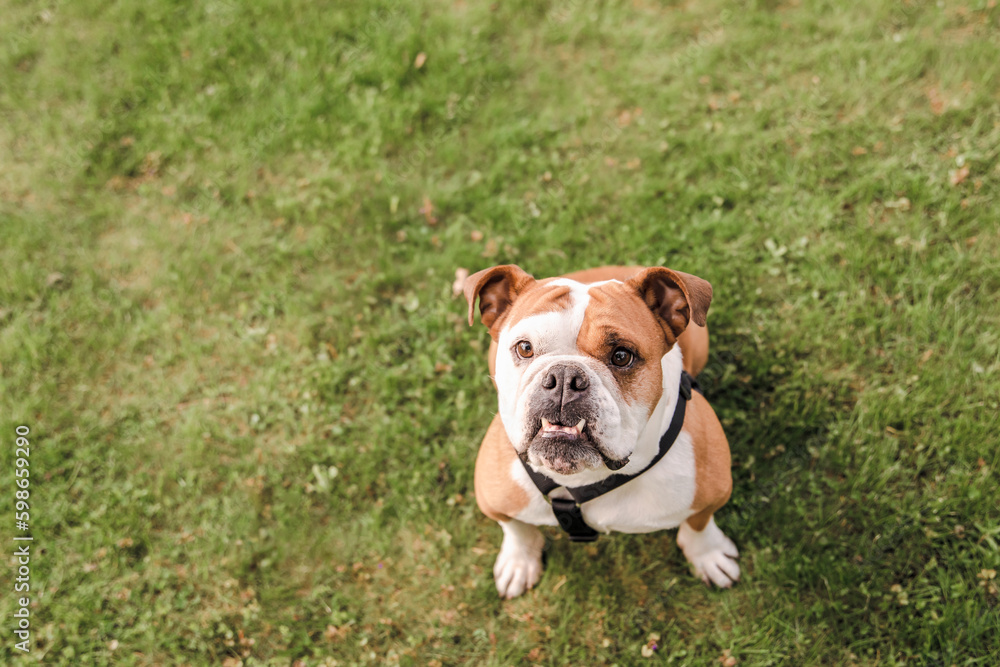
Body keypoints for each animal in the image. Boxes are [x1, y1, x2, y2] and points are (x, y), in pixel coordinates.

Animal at [464, 264, 740, 600]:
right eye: (525, 348)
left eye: (622, 356)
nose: (564, 377)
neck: (583, 479)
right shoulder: (493, 498)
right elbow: (515, 528)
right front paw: (519, 561)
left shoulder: (713, 492)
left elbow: (699, 523)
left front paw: (708, 555)